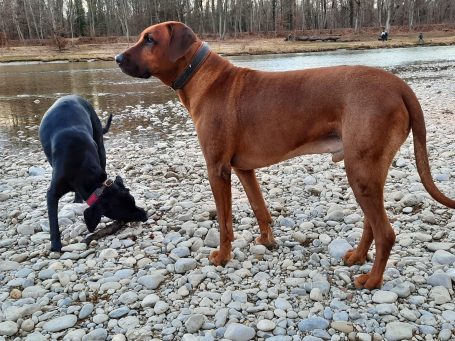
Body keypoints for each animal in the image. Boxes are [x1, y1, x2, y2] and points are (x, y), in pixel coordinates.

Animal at [39, 95, 147, 250]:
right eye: (125, 211)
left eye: (133, 201)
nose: (145, 215)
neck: (81, 166)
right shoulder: (52, 193)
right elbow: (53, 220)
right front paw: (55, 245)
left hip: (100, 143)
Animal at [116, 21, 454, 288]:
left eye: (150, 39)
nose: (117, 58)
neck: (200, 76)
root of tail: (399, 85)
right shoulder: (243, 168)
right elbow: (259, 207)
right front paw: (267, 241)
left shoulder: (217, 168)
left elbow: (225, 223)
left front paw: (223, 257)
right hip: (368, 170)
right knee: (373, 224)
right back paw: (358, 257)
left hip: (361, 171)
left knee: (386, 233)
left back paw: (372, 280)